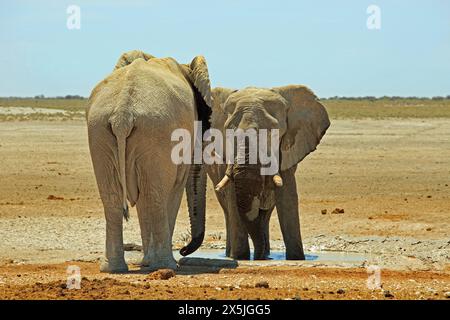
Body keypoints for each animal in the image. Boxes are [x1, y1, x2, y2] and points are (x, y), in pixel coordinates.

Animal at [86, 50, 213, 272]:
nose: (184, 250)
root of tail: (122, 113)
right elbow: (174, 188)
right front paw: (152, 263)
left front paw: (146, 263)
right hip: (156, 131)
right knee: (155, 195)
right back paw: (167, 265)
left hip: (100, 130)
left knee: (114, 198)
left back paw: (113, 269)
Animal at [206, 85, 328, 260]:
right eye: (229, 131)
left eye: (272, 133)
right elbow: (233, 200)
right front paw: (240, 257)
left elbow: (287, 198)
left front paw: (296, 258)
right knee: (228, 212)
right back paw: (233, 255)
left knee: (266, 214)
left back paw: (265, 254)